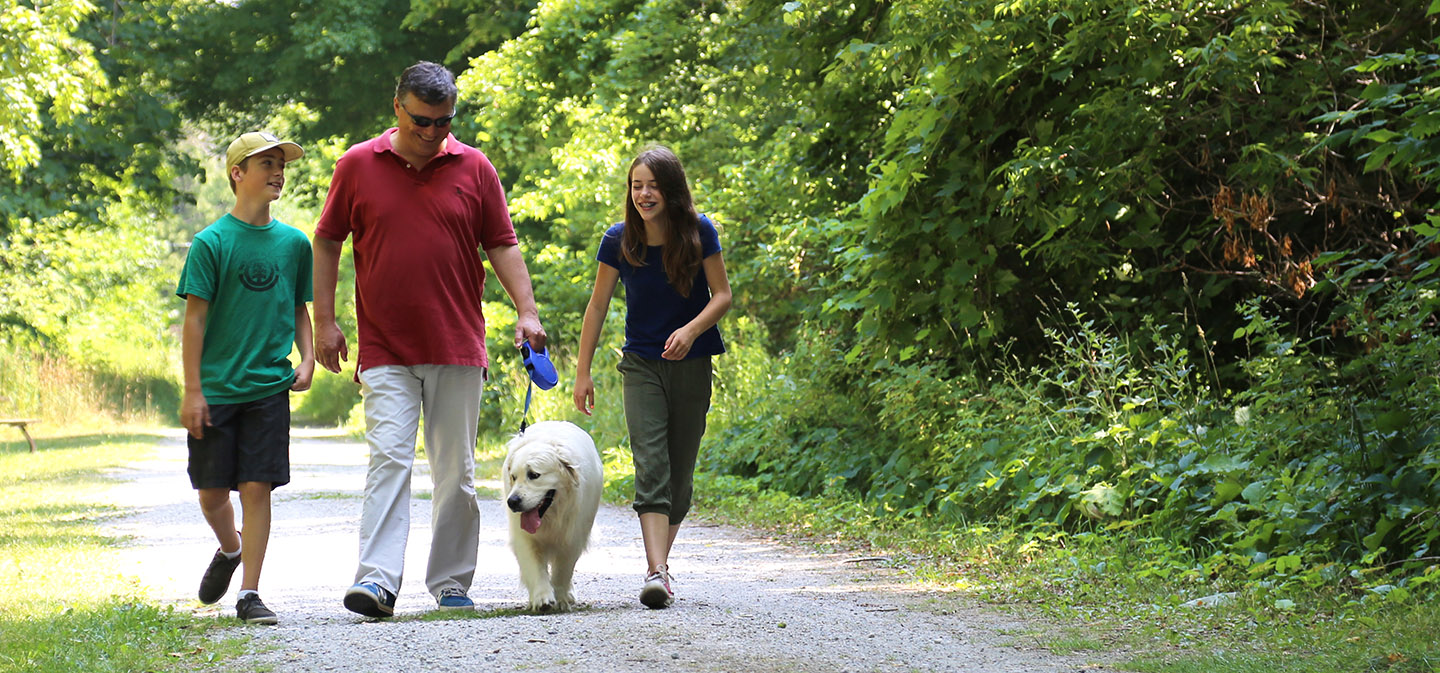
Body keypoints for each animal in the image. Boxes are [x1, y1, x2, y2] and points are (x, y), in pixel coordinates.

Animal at [504, 420, 604, 611]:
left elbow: (563, 570)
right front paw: (542, 597)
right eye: (513, 477)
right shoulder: (525, 538)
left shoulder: (573, 537)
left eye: (534, 475)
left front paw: (561, 599)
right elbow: (534, 566)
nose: (512, 501)